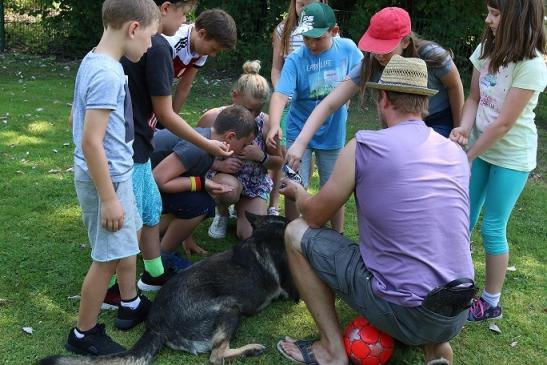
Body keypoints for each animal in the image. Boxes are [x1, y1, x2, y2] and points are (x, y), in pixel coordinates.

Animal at [40, 212, 300, 362]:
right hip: (230, 309)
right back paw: (251, 349)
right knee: (216, 356)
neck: (268, 230)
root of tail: (156, 326)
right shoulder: (293, 293)